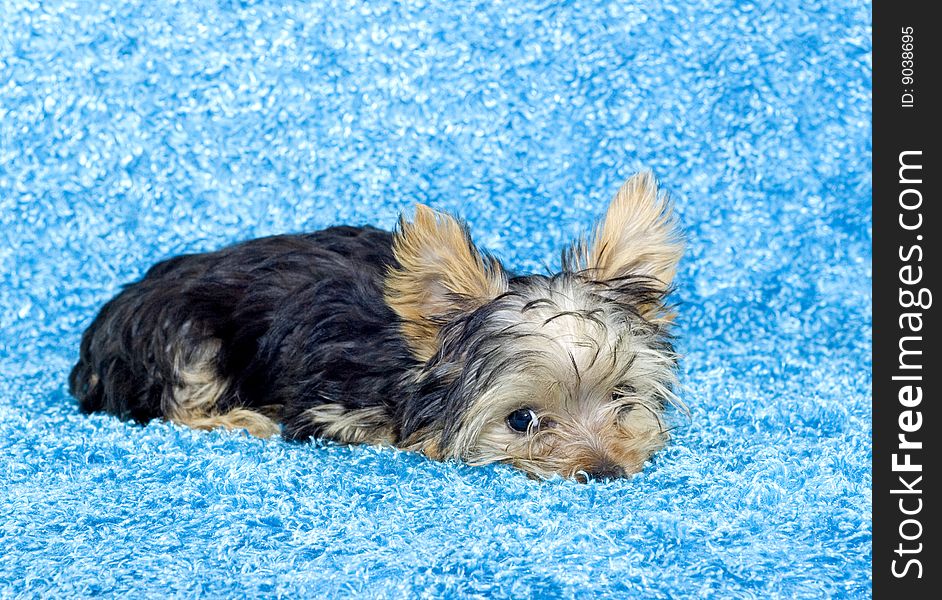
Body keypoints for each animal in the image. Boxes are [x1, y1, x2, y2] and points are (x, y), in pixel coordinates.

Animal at [68, 171, 684, 480]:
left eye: (622, 396)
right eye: (522, 420)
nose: (606, 471)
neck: (407, 369)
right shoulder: (330, 408)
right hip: (181, 336)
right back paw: (236, 420)